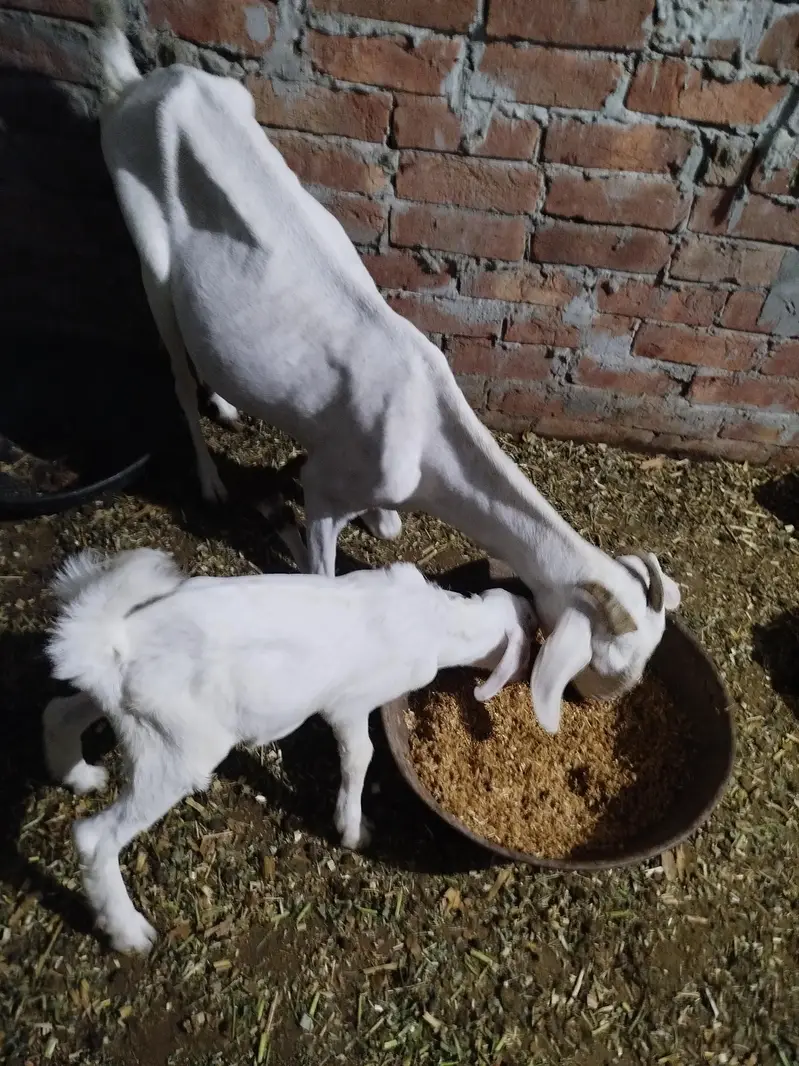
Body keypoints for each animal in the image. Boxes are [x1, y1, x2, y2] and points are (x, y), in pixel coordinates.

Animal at [44, 548, 533, 953]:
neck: (433, 620)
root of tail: (115, 643)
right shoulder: (349, 705)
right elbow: (360, 756)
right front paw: (354, 830)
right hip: (175, 754)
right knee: (94, 838)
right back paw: (128, 932)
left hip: (123, 713)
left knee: (59, 711)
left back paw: (79, 775)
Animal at [91, 1, 681, 733]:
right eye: (605, 661)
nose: (599, 704)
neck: (425, 433)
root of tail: (139, 86)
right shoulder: (324, 491)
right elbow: (320, 568)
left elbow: (385, 519)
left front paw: (383, 523)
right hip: (149, 255)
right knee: (173, 366)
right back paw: (211, 482)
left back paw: (226, 406)